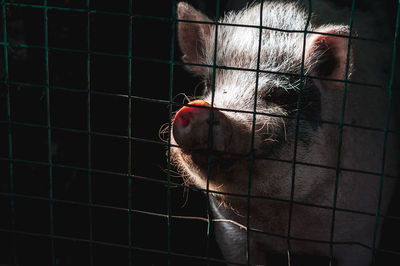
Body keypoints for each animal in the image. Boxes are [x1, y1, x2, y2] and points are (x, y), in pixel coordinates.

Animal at [168, 1, 396, 264]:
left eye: (280, 95)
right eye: (209, 85)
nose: (197, 107)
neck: (282, 219)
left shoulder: (360, 236)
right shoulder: (230, 232)